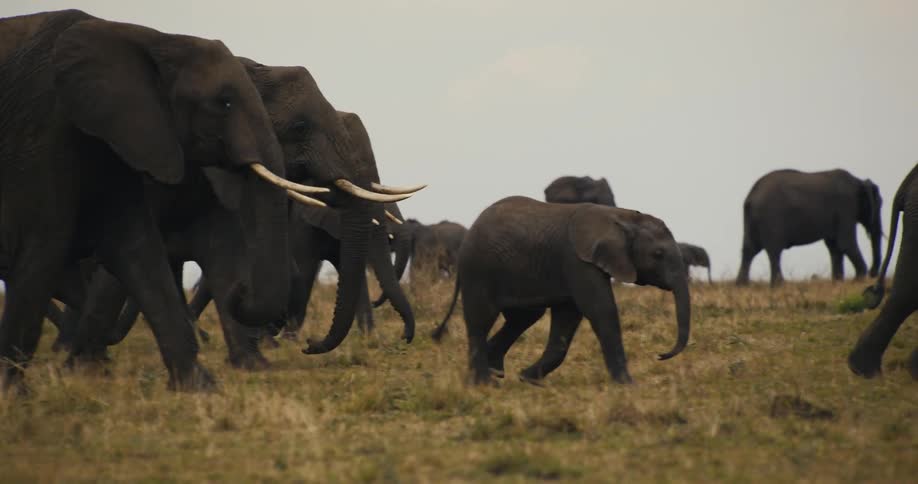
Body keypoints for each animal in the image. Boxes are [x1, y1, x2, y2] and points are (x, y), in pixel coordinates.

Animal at [0, 10, 326, 391]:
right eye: (224, 103)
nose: (240, 290)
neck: (153, 39)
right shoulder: (42, 130)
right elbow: (44, 246)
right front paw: (16, 393)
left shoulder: (125, 138)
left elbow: (137, 247)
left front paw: (201, 388)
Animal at [431, 196, 691, 385]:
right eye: (658, 254)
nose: (660, 355)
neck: (620, 216)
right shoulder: (577, 260)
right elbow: (601, 310)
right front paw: (628, 386)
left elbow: (568, 318)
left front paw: (528, 379)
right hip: (479, 270)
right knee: (481, 320)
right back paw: (484, 383)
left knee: (522, 318)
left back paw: (495, 373)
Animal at [736, 169, 883, 287]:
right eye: (880, 204)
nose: (873, 273)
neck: (858, 182)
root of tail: (750, 197)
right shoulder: (846, 207)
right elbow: (845, 243)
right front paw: (858, 280)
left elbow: (834, 246)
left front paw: (838, 282)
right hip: (771, 217)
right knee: (774, 250)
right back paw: (779, 285)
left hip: (753, 219)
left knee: (750, 249)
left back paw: (742, 285)